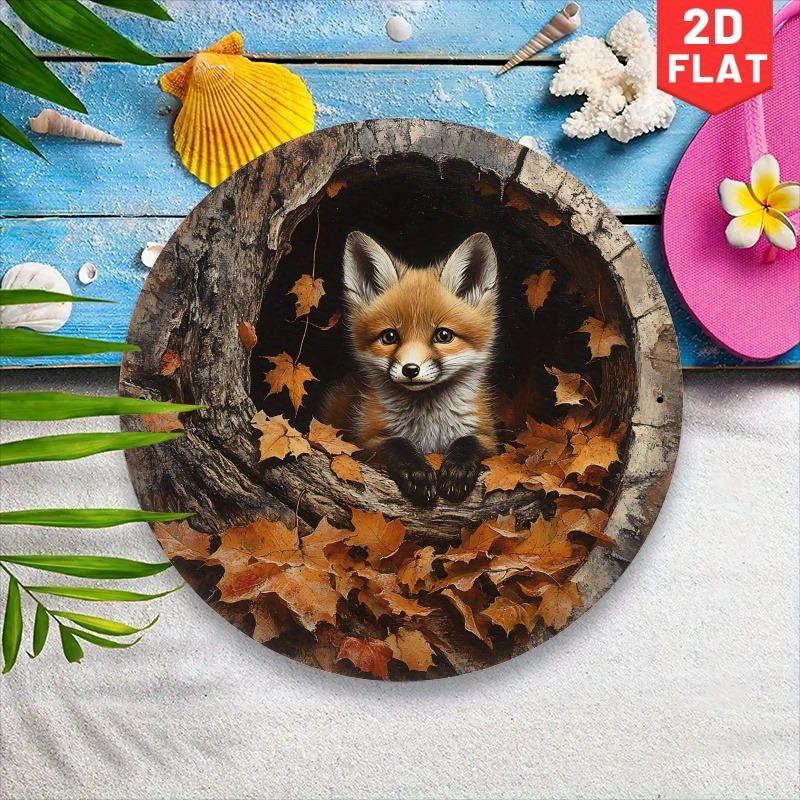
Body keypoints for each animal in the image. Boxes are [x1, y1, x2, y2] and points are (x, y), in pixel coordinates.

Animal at [321, 230, 500, 507]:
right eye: (389, 337)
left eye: (443, 335)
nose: (411, 369)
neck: (428, 426)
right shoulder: (362, 442)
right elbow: (396, 444)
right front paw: (417, 472)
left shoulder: (487, 437)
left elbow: (469, 442)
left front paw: (457, 469)